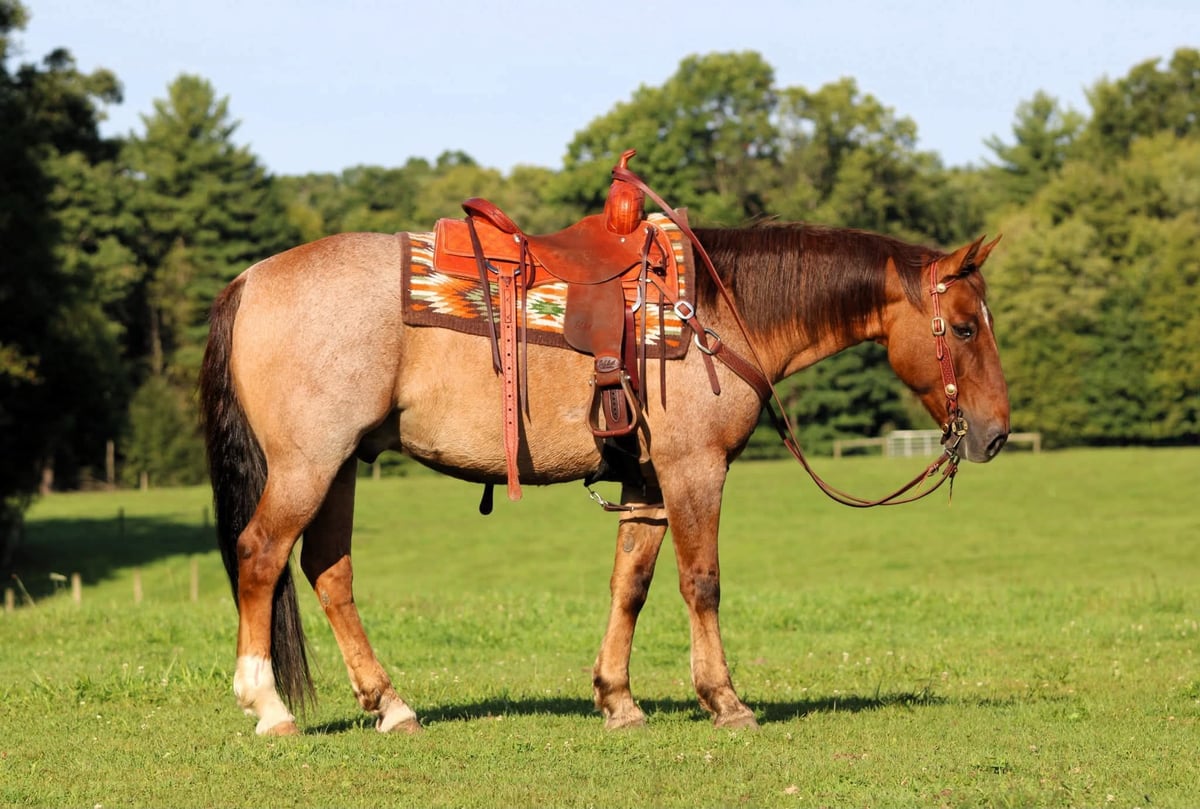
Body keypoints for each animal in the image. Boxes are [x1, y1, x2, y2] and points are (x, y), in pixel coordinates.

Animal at [199, 209, 1009, 736]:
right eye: (967, 328)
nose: (997, 433)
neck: (715, 312)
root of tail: (250, 279)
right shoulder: (693, 468)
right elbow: (701, 582)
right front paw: (724, 700)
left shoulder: (647, 482)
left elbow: (632, 584)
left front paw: (618, 699)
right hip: (307, 465)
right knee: (261, 555)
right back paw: (268, 706)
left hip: (340, 466)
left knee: (329, 573)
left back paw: (391, 705)